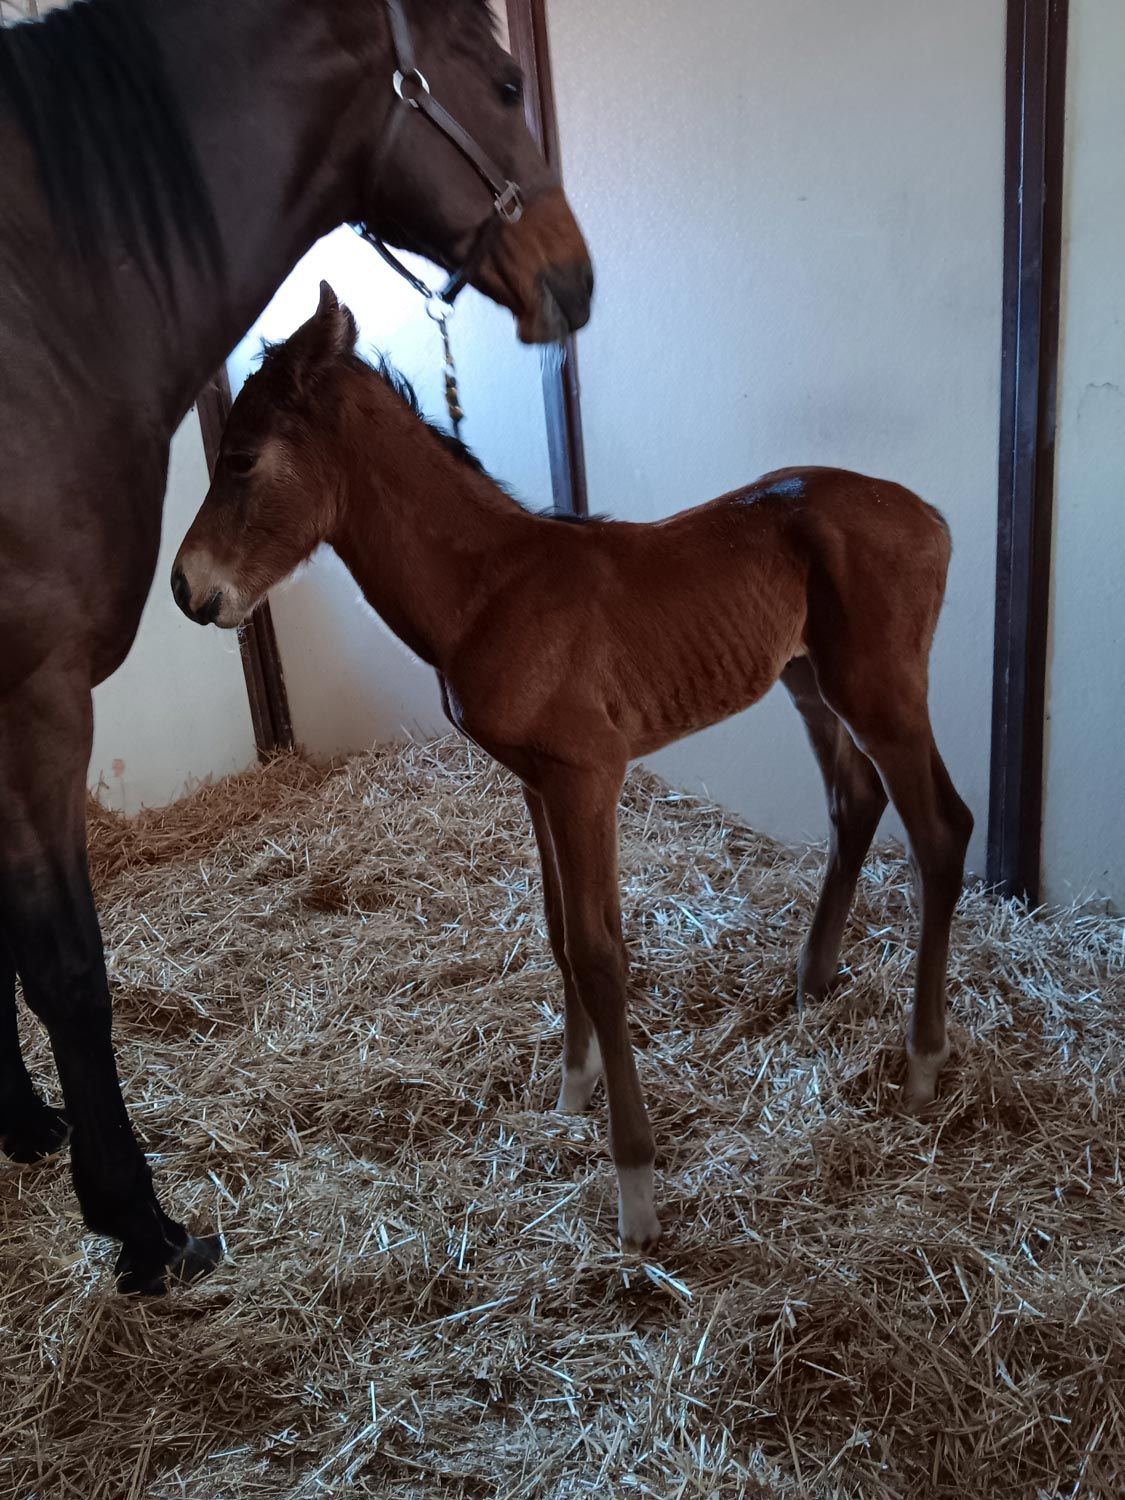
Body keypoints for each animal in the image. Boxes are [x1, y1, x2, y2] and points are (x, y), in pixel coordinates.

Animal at [0, 0, 592, 1294]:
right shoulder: (33, 694)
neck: (55, 306)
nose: (576, 279)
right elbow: (65, 965)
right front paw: (140, 1225)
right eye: (507, 81)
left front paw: (29, 1131)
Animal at [172, 284, 974, 1250]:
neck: (489, 591)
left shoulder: (586, 777)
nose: (186, 589)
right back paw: (810, 982)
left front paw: (635, 1189)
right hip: (807, 680)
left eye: (242, 459)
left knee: (940, 829)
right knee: (853, 803)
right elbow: (559, 932)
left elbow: (598, 951)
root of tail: (929, 515)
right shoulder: (536, 781)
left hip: (878, 689)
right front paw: (571, 1087)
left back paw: (922, 1060)